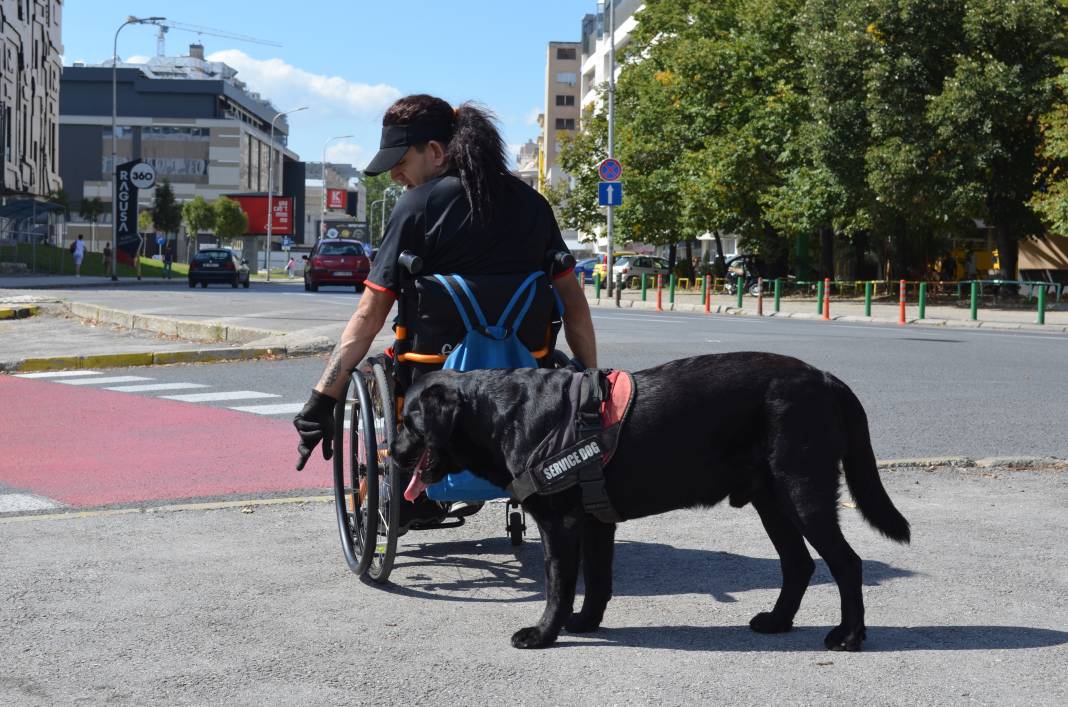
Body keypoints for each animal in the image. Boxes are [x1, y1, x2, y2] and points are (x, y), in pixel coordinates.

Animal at [393, 354, 909, 653]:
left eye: (406, 421)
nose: (390, 454)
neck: (502, 414)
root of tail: (828, 378)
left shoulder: (559, 522)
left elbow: (559, 584)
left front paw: (543, 633)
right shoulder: (595, 523)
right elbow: (597, 582)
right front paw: (586, 622)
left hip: (802, 492)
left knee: (846, 563)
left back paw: (849, 635)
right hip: (772, 500)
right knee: (799, 564)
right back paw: (778, 621)